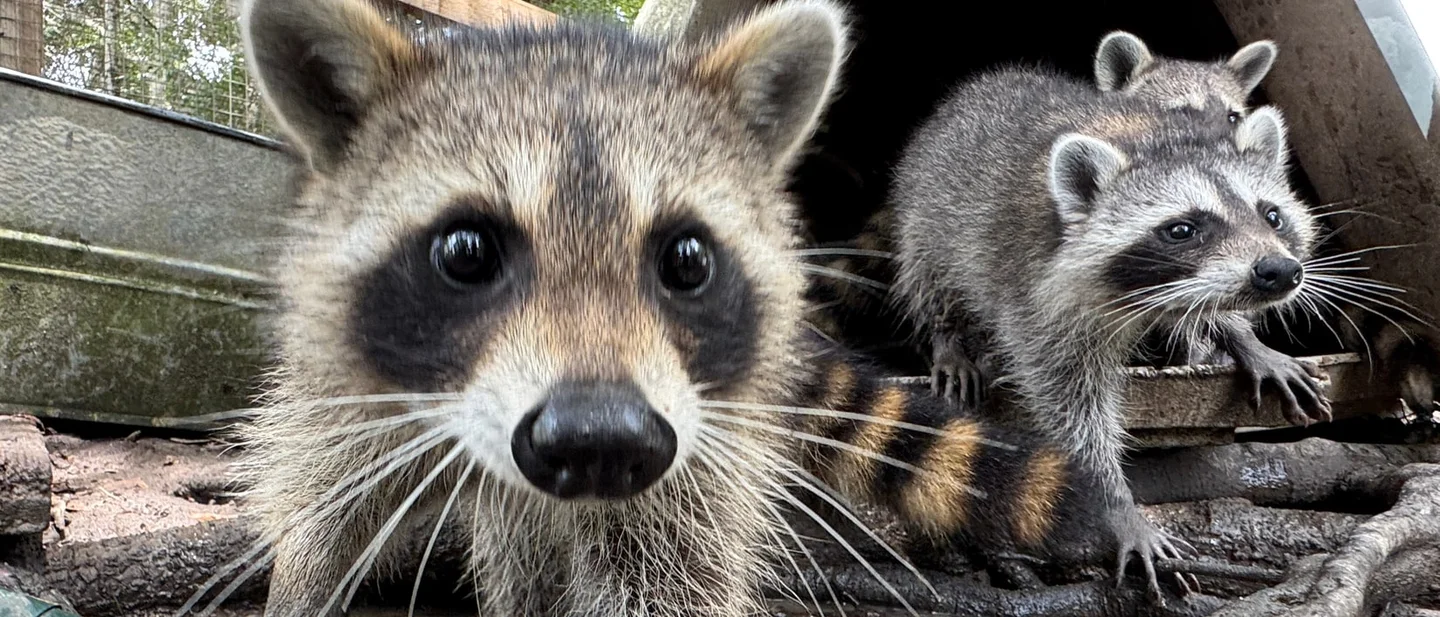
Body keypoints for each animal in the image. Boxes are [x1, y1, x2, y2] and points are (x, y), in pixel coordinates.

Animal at [203, 1, 1120, 615]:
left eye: (687, 260)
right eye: (465, 252)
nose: (597, 441)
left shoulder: (691, 443)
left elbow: (668, 568)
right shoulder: (350, 369)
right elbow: (322, 486)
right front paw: (301, 579)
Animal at [891, 66, 1330, 582]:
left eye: (1272, 215)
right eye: (1182, 229)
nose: (1279, 271)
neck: (1154, 140)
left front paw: (1243, 337)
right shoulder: (1036, 295)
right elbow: (1072, 406)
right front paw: (1114, 501)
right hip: (928, 210)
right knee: (930, 273)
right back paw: (948, 340)